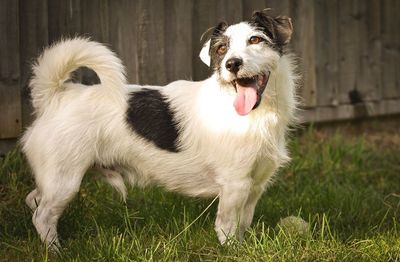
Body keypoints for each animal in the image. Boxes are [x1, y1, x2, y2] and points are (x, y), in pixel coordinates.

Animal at [21, 9, 296, 250]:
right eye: (221, 49)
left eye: (255, 39)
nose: (232, 64)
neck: (256, 114)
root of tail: (55, 96)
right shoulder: (234, 184)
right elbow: (227, 226)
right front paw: (233, 251)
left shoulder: (255, 185)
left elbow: (243, 224)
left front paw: (244, 245)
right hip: (64, 180)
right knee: (42, 216)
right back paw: (55, 250)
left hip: (55, 179)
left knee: (33, 200)